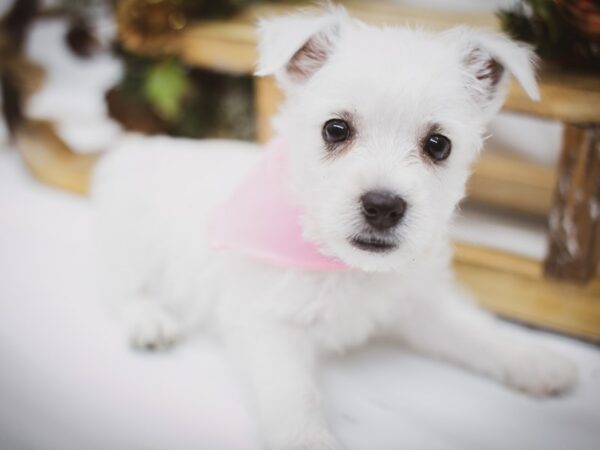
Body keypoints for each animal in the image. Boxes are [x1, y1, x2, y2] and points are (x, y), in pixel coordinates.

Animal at [92, 7, 576, 450]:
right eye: (336, 129)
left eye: (438, 145)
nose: (383, 207)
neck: (343, 264)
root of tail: (134, 151)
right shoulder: (268, 325)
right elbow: (294, 395)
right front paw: (308, 440)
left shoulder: (417, 304)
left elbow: (472, 331)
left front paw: (533, 360)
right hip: (131, 247)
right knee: (119, 289)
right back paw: (150, 322)